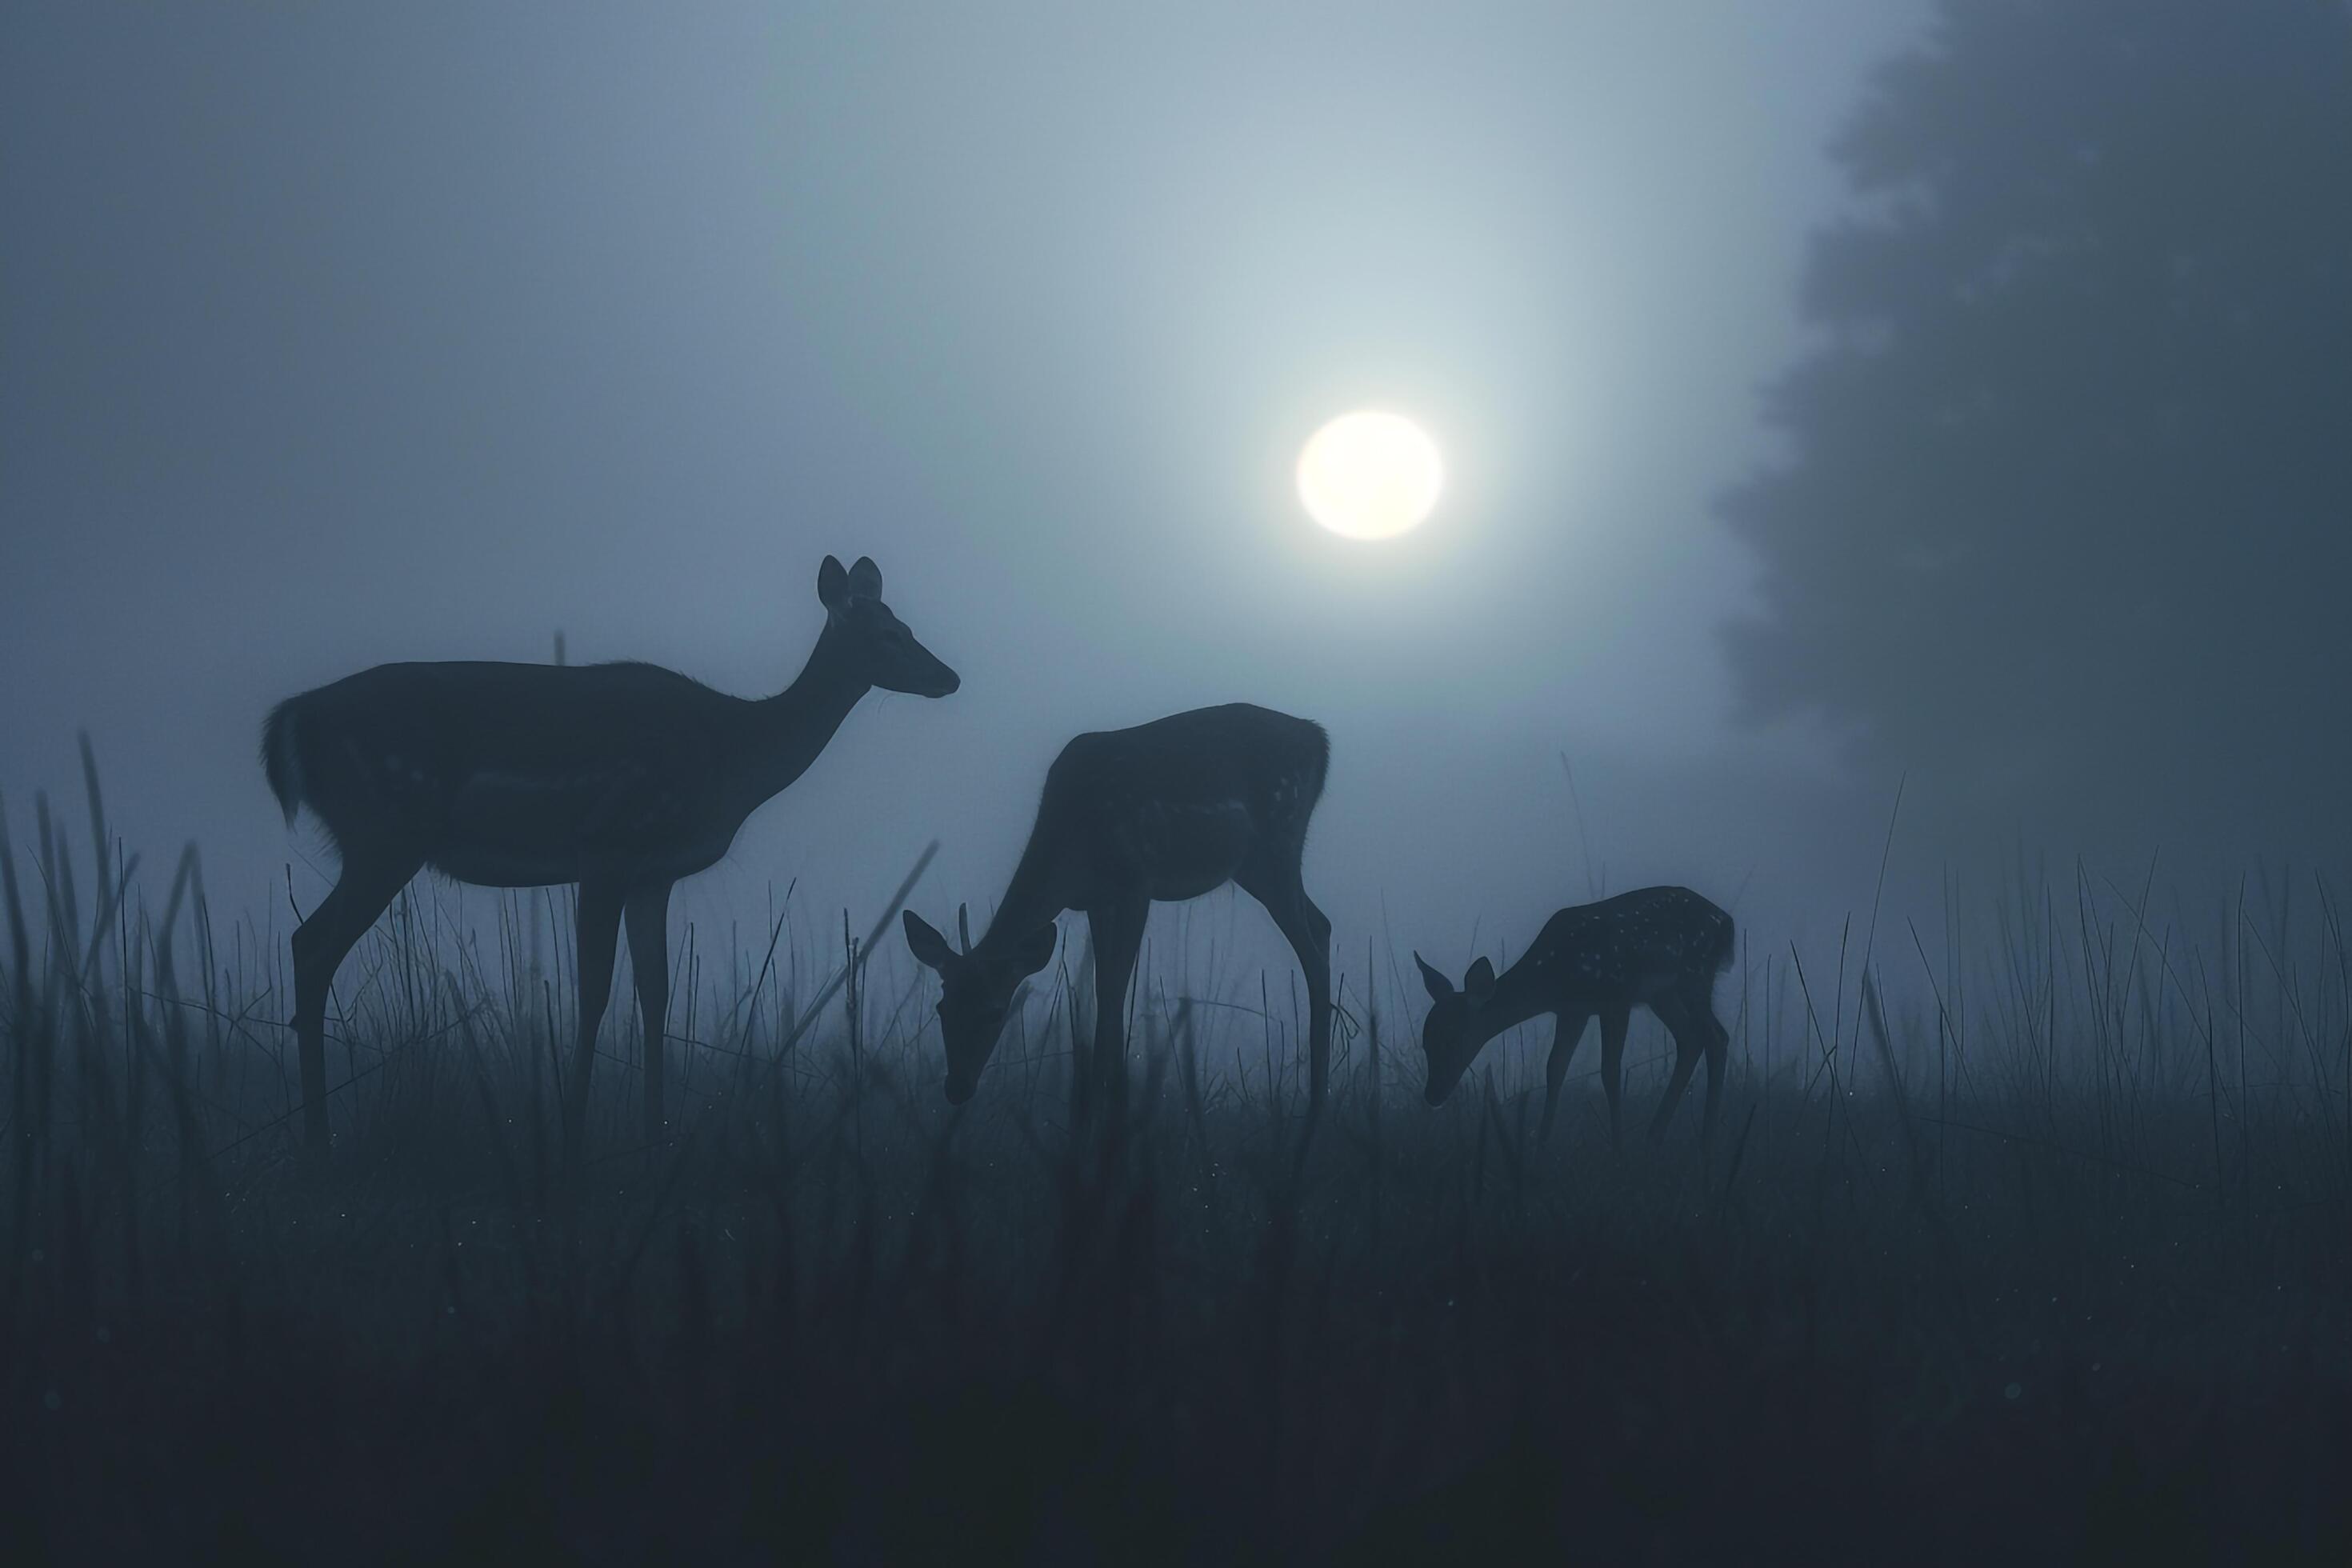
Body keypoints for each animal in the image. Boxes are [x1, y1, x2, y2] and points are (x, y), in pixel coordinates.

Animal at [259, 557, 954, 1161]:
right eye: (890, 634)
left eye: (907, 625)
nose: (949, 676)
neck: (732, 757)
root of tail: (292, 719)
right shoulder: (607, 846)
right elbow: (593, 989)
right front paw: (573, 1133)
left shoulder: (654, 873)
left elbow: (656, 991)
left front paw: (654, 1131)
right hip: (385, 828)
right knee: (312, 945)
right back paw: (317, 1139)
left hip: (376, 839)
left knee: (304, 941)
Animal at [907, 705, 1335, 1123]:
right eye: (942, 1007)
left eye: (996, 1013)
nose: (957, 1087)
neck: (1071, 854)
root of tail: (1318, 739)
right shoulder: (1098, 900)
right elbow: (1102, 990)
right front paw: (1107, 1103)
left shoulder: (1136, 883)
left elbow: (1114, 992)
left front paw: (1104, 1110)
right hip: (1254, 867)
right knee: (1322, 924)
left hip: (1278, 839)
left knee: (1312, 953)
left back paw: (1315, 1109)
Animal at [1411, 883, 1730, 1151]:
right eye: (1425, 1042)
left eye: (1453, 1038)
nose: (1432, 1094)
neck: (1554, 976)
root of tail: (1727, 922)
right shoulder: (1572, 1010)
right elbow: (1555, 1069)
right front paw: (1541, 1144)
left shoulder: (1616, 998)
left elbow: (1610, 1072)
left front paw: (1617, 1146)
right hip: (1663, 995)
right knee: (1691, 1039)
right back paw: (1655, 1135)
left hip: (1694, 974)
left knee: (1716, 1036)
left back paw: (1707, 1138)